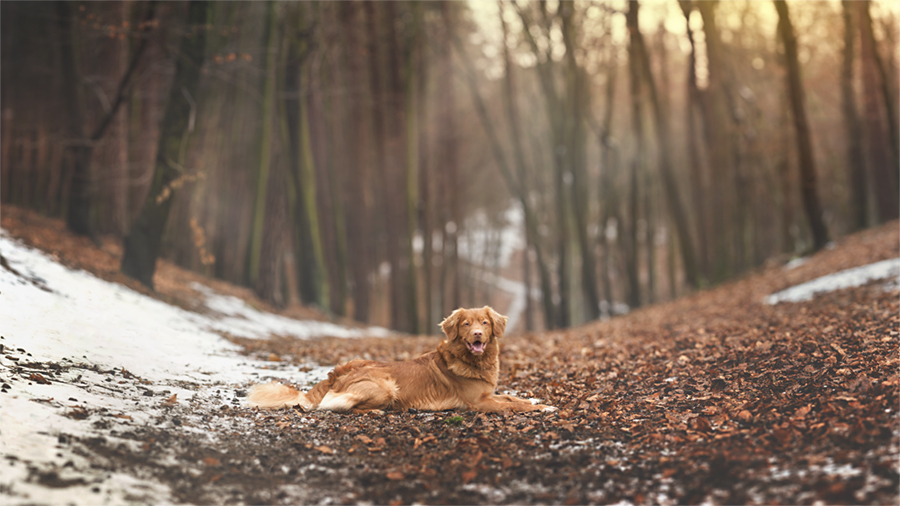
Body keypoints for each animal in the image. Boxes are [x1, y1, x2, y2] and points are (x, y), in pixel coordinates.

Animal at [246, 306, 556, 414]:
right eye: (466, 324)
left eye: (485, 323)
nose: (478, 334)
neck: (471, 361)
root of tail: (336, 375)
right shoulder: (478, 403)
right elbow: (513, 405)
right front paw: (542, 408)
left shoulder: (488, 395)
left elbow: (513, 398)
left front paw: (539, 401)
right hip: (385, 387)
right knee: (338, 407)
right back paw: (378, 412)